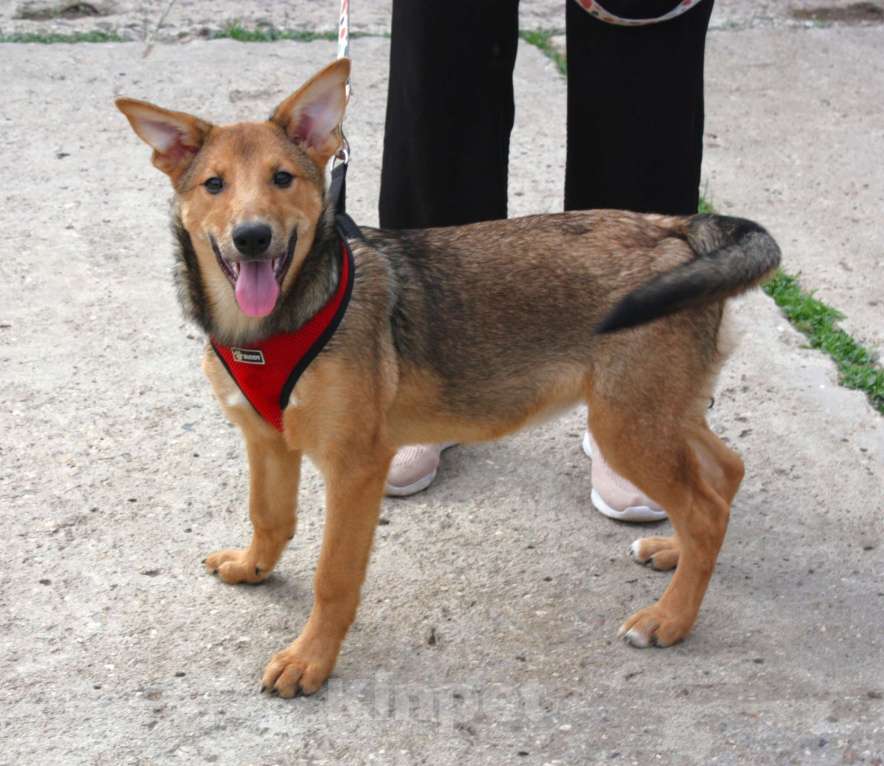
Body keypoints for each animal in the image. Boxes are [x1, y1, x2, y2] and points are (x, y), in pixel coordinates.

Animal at [115, 57, 780, 700]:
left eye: (283, 178)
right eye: (214, 184)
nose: (252, 238)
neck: (274, 324)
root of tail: (679, 230)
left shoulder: (355, 469)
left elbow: (333, 577)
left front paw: (310, 660)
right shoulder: (267, 441)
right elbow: (269, 518)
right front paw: (253, 567)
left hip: (627, 423)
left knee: (705, 509)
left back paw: (670, 618)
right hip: (660, 409)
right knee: (724, 474)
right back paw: (674, 554)